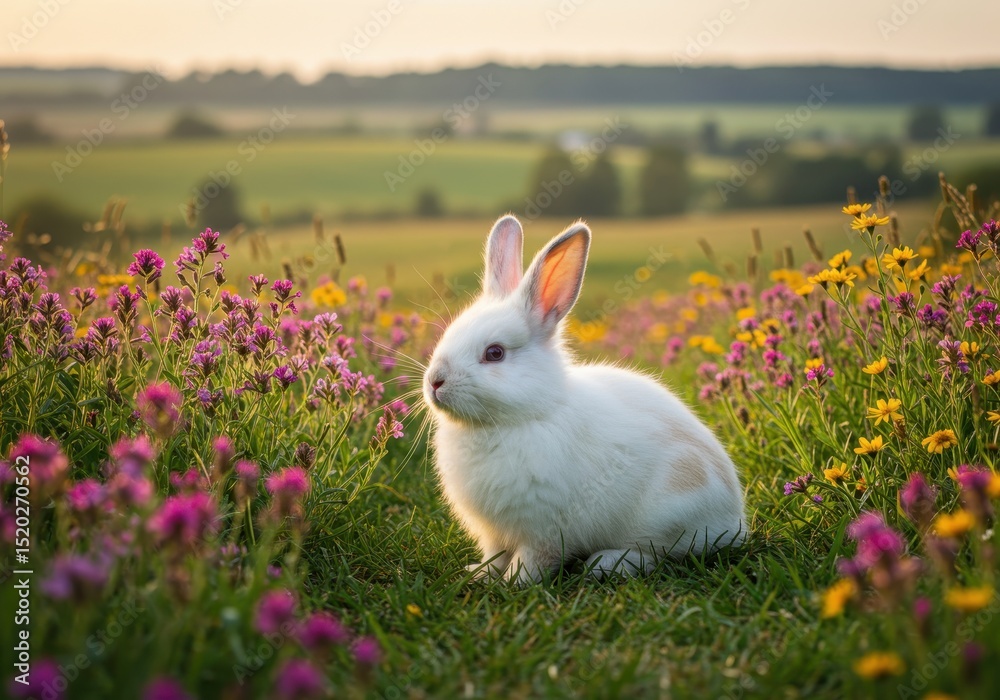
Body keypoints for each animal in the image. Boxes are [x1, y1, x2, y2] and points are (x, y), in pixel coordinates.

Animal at [423, 215, 746, 584]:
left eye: (495, 353)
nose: (435, 381)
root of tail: (735, 520)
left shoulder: (544, 529)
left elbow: (534, 559)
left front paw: (515, 582)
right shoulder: (494, 532)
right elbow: (496, 555)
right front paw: (479, 574)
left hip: (665, 518)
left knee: (658, 555)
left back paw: (605, 564)